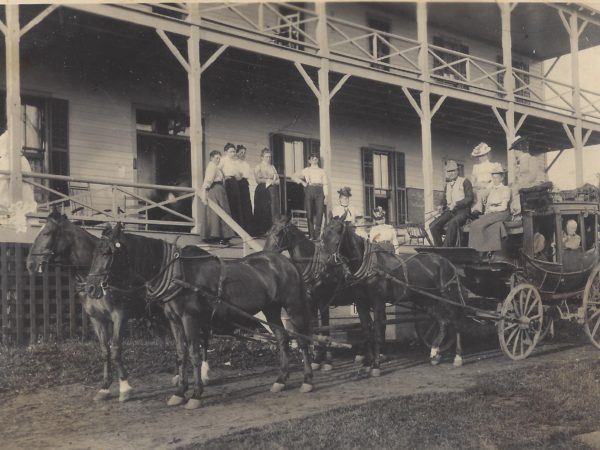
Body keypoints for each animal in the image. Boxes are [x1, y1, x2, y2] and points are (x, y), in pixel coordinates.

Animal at [26, 209, 171, 402]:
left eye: (47, 233)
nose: (29, 264)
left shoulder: (120, 315)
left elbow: (116, 349)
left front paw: (125, 387)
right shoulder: (97, 320)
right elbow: (105, 351)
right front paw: (104, 387)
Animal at [86, 223, 316, 410]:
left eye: (107, 253)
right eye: (94, 251)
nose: (90, 288)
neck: (176, 273)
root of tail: (285, 261)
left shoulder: (190, 319)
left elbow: (195, 354)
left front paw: (196, 395)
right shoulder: (174, 321)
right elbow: (181, 354)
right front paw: (179, 393)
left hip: (293, 306)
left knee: (302, 340)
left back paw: (307, 380)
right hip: (271, 309)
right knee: (282, 339)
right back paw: (281, 380)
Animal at [264, 217, 368, 370]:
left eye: (279, 233)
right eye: (267, 232)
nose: (265, 253)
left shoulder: (323, 301)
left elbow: (325, 328)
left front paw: (327, 360)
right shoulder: (310, 303)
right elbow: (314, 327)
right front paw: (317, 358)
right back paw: (361, 354)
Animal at [322, 214, 462, 372]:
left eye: (338, 234)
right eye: (324, 234)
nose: (327, 262)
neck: (370, 267)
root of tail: (448, 262)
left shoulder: (378, 302)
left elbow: (377, 330)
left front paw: (376, 365)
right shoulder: (361, 303)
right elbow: (366, 332)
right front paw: (367, 363)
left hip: (448, 297)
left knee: (456, 321)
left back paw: (457, 356)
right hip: (427, 300)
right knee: (443, 321)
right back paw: (435, 353)